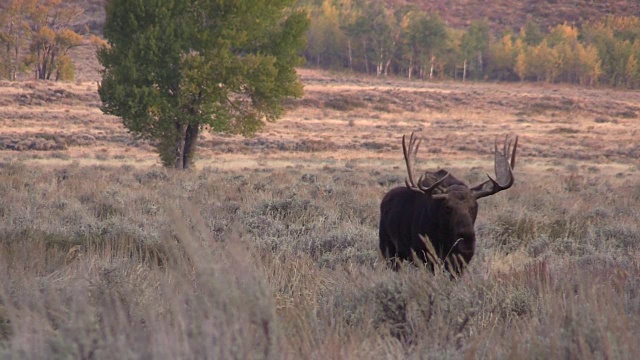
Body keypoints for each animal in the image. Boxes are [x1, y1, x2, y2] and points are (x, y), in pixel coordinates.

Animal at [378, 133, 516, 276]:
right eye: (448, 207)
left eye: (474, 207)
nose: (466, 239)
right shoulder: (425, 256)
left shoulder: (460, 262)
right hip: (388, 249)